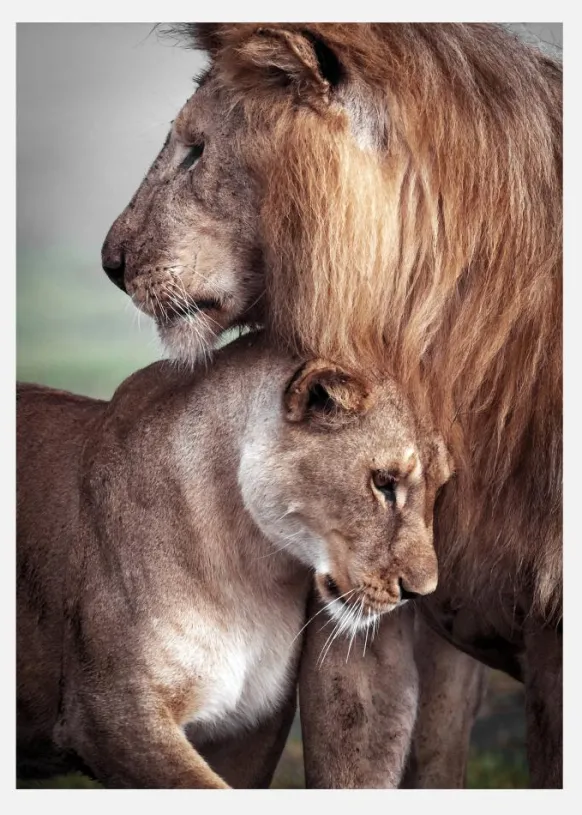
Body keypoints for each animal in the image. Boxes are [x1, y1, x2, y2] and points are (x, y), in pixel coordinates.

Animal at [17, 332, 452, 788]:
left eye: (440, 488)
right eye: (384, 483)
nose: (420, 591)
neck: (252, 571)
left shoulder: (247, 730)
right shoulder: (109, 712)